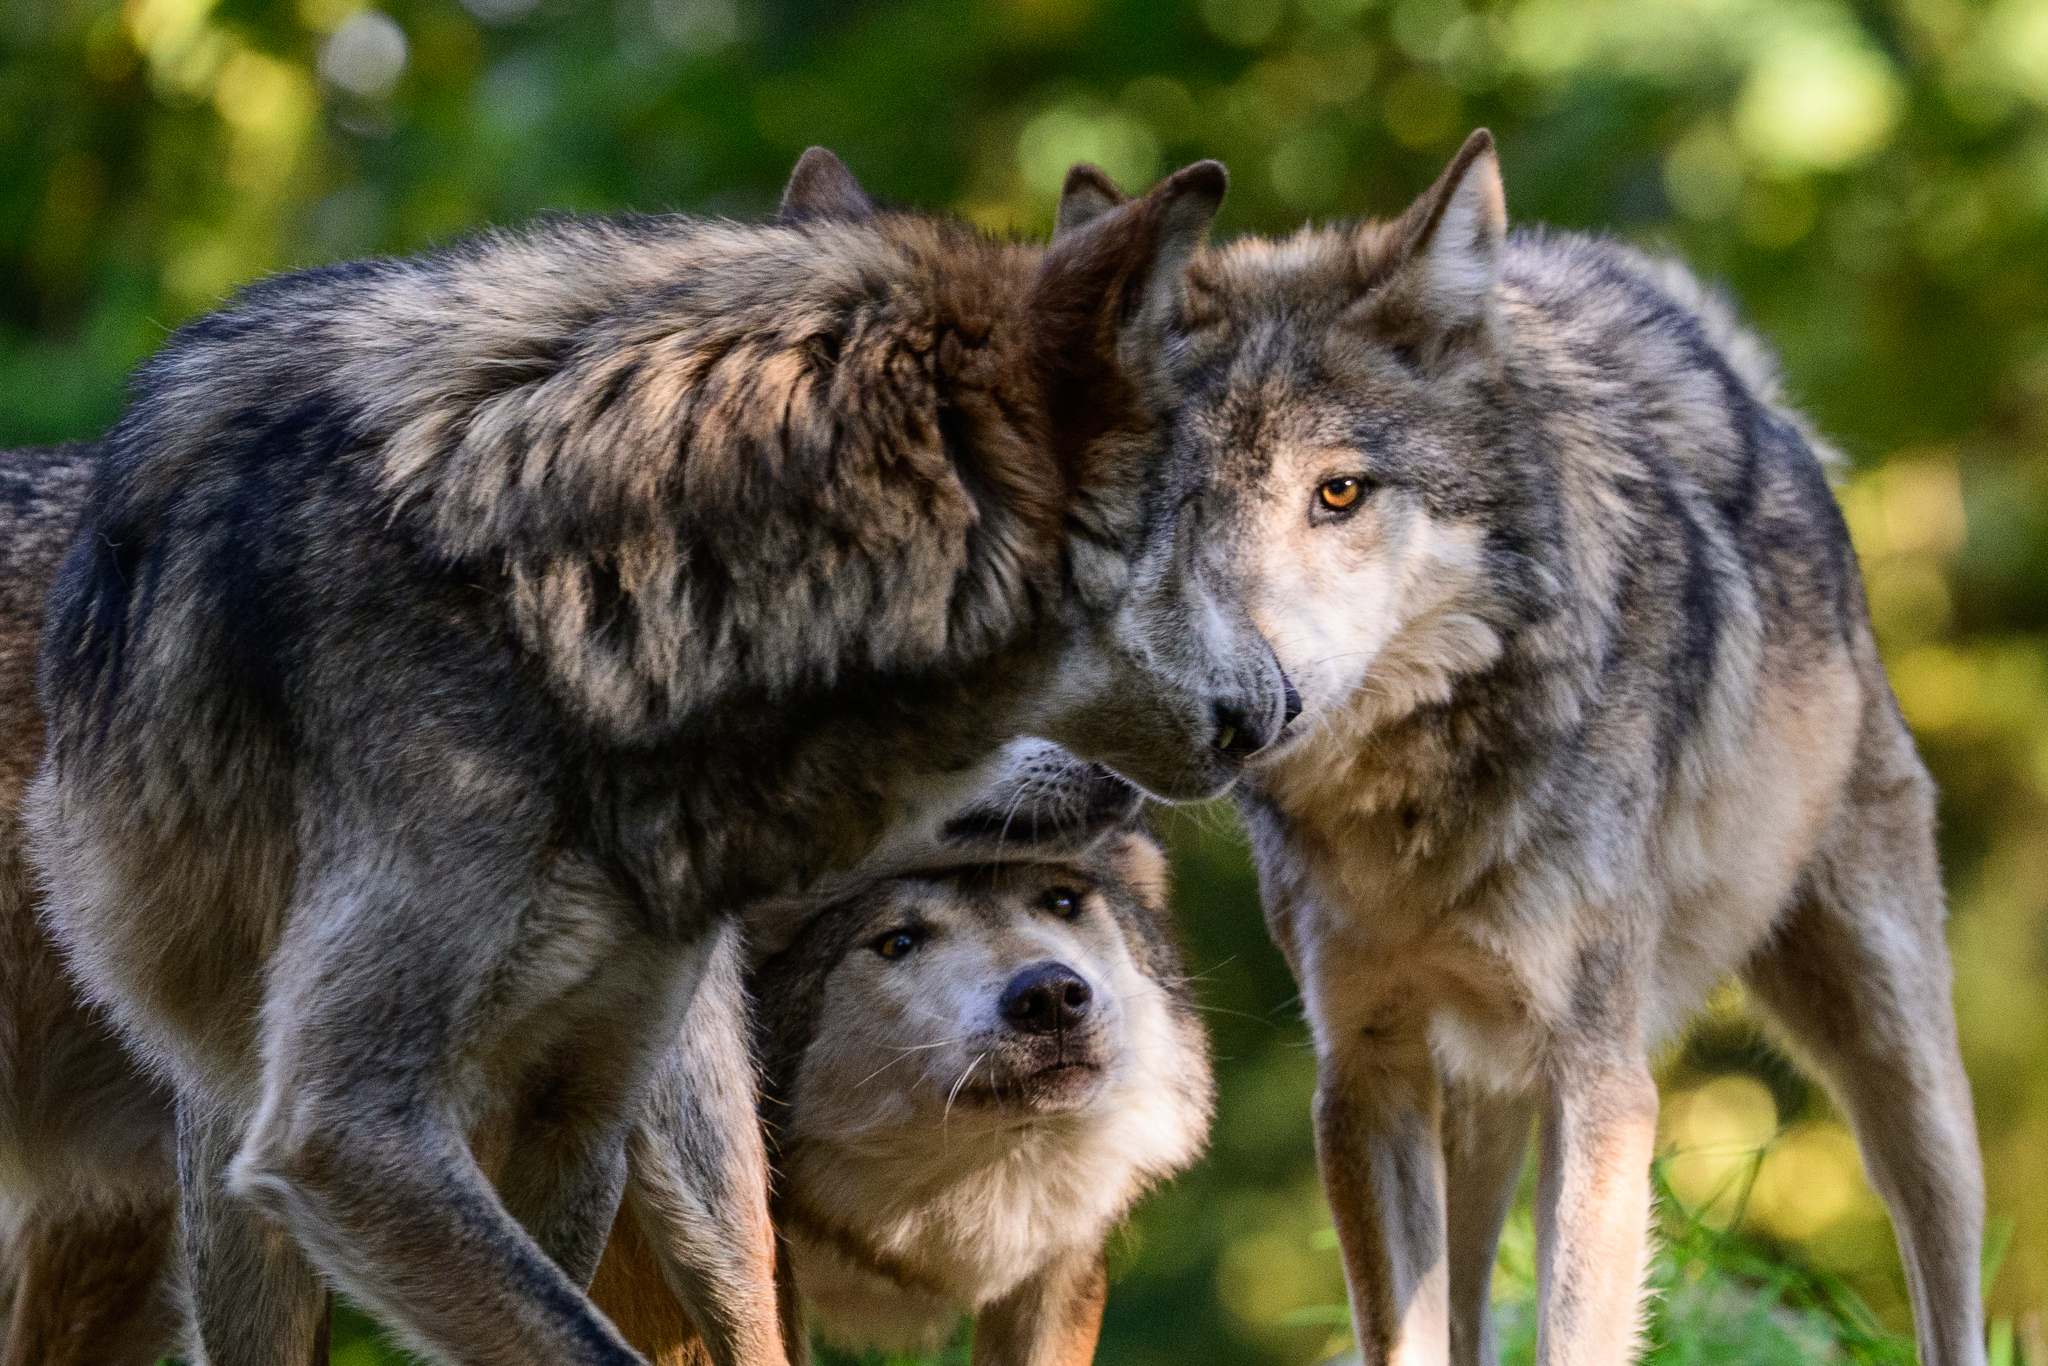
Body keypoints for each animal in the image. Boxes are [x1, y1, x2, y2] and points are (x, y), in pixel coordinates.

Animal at [1060, 135, 1985, 1366]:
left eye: (1338, 492)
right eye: (1174, 515)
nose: (1249, 709)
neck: (1413, 801)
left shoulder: (1600, 1084)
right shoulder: (1364, 1072)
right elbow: (1402, 1338)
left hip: (1894, 1062)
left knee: (1942, 1264)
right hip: (1480, 1097)